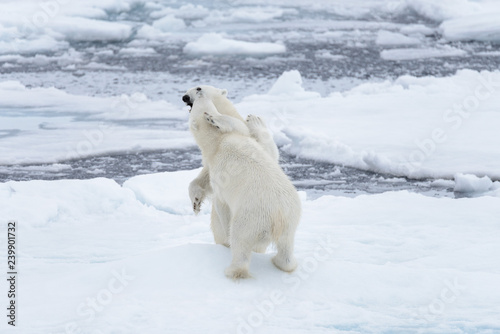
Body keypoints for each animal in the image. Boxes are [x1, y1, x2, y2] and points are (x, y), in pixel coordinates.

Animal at [184, 86, 300, 280]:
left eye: (199, 90)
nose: (186, 96)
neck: (219, 142)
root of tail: (278, 217)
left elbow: (221, 203)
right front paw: (196, 202)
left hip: (250, 218)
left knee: (240, 239)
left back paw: (232, 269)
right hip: (291, 220)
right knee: (286, 247)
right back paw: (280, 262)